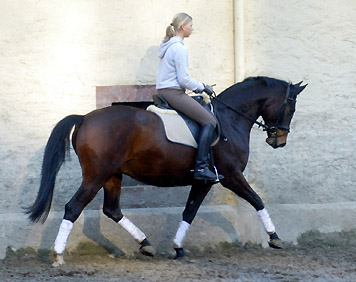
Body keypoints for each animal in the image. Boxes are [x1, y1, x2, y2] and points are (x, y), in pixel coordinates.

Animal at [27, 77, 306, 266]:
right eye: (290, 107)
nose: (279, 141)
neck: (230, 119)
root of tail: (85, 118)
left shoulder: (204, 181)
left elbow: (189, 212)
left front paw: (178, 248)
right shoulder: (231, 175)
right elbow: (257, 200)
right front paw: (274, 237)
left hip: (112, 175)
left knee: (112, 209)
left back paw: (146, 245)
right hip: (96, 175)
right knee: (73, 207)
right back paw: (59, 255)